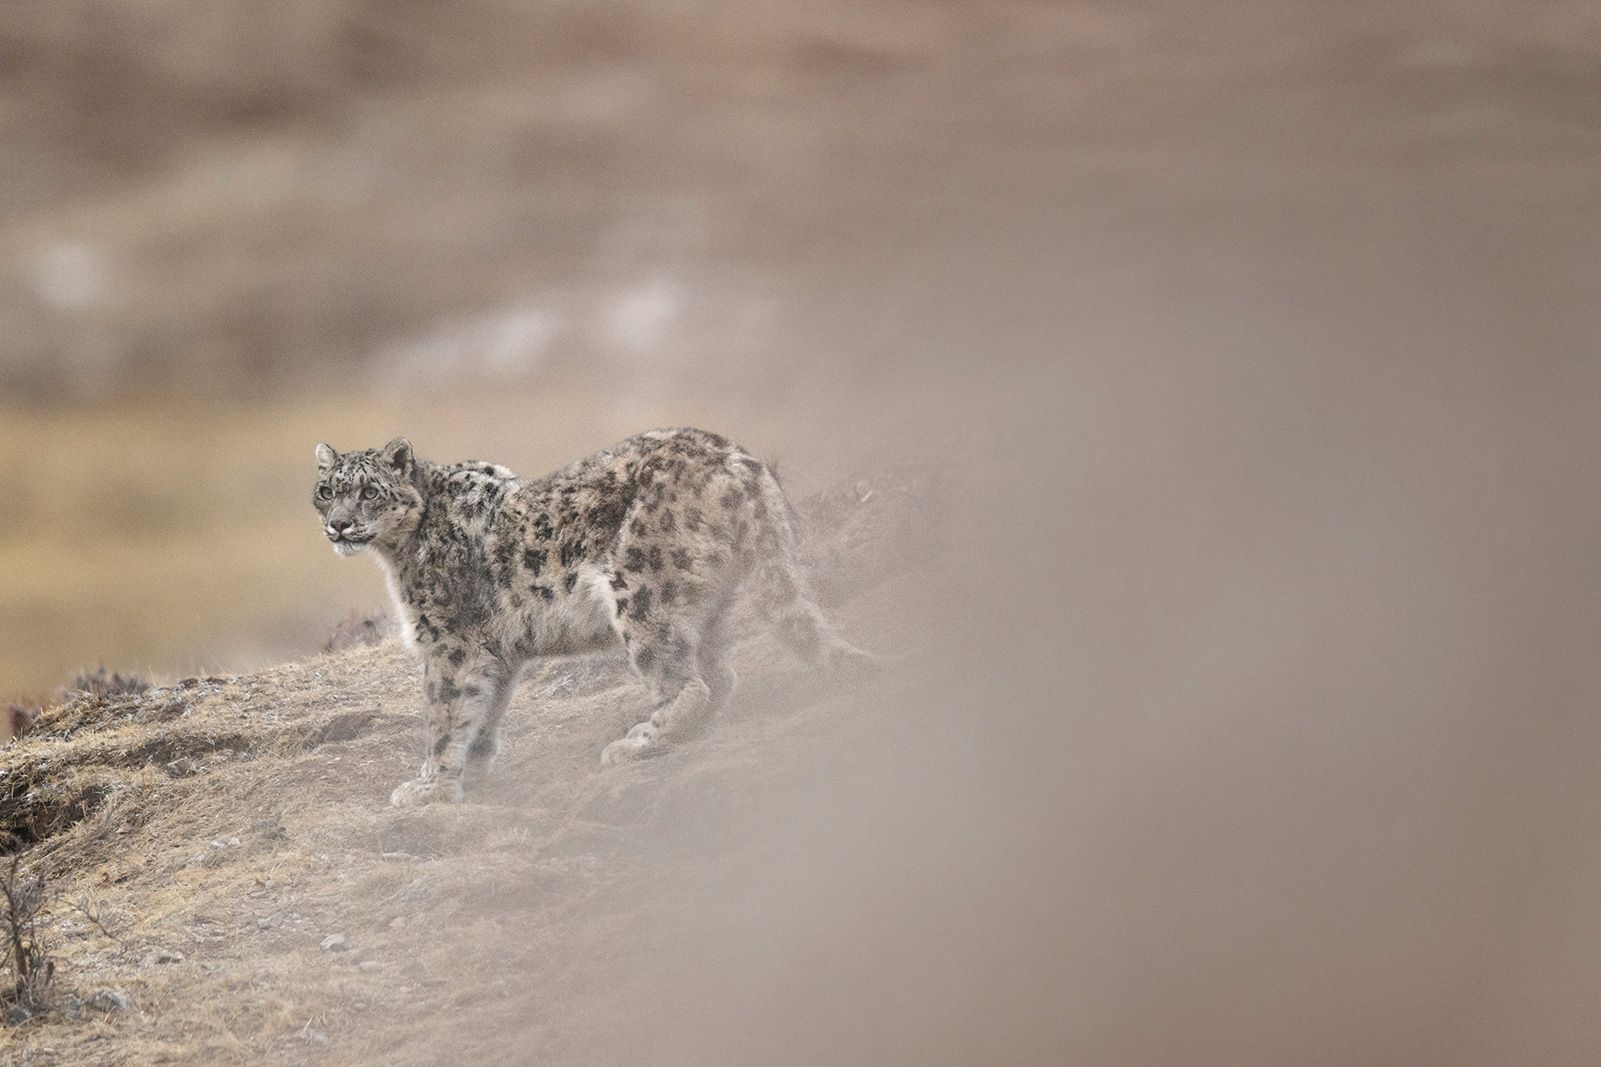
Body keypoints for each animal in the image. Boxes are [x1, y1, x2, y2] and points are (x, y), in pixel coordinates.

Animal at [310, 429, 877, 801]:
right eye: (326, 490)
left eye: (368, 491)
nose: (338, 525)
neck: (397, 553)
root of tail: (737, 457)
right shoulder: (495, 652)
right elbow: (482, 712)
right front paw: (470, 771)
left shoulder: (448, 644)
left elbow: (444, 715)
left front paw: (428, 787)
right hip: (707, 607)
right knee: (721, 676)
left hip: (641, 595)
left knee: (688, 684)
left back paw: (634, 744)